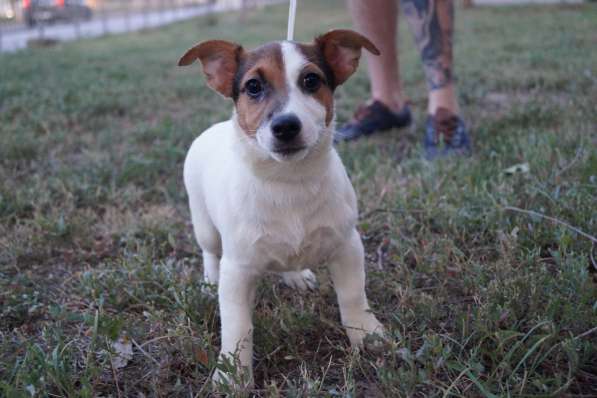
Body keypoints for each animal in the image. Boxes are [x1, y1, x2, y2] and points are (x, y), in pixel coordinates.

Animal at [178, 30, 382, 388]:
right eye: (253, 86)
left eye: (311, 80)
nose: (286, 126)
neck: (288, 180)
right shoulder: (237, 271)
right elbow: (237, 327)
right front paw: (233, 375)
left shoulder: (347, 245)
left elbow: (353, 296)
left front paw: (366, 334)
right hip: (204, 225)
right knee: (209, 252)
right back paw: (208, 282)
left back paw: (295, 275)